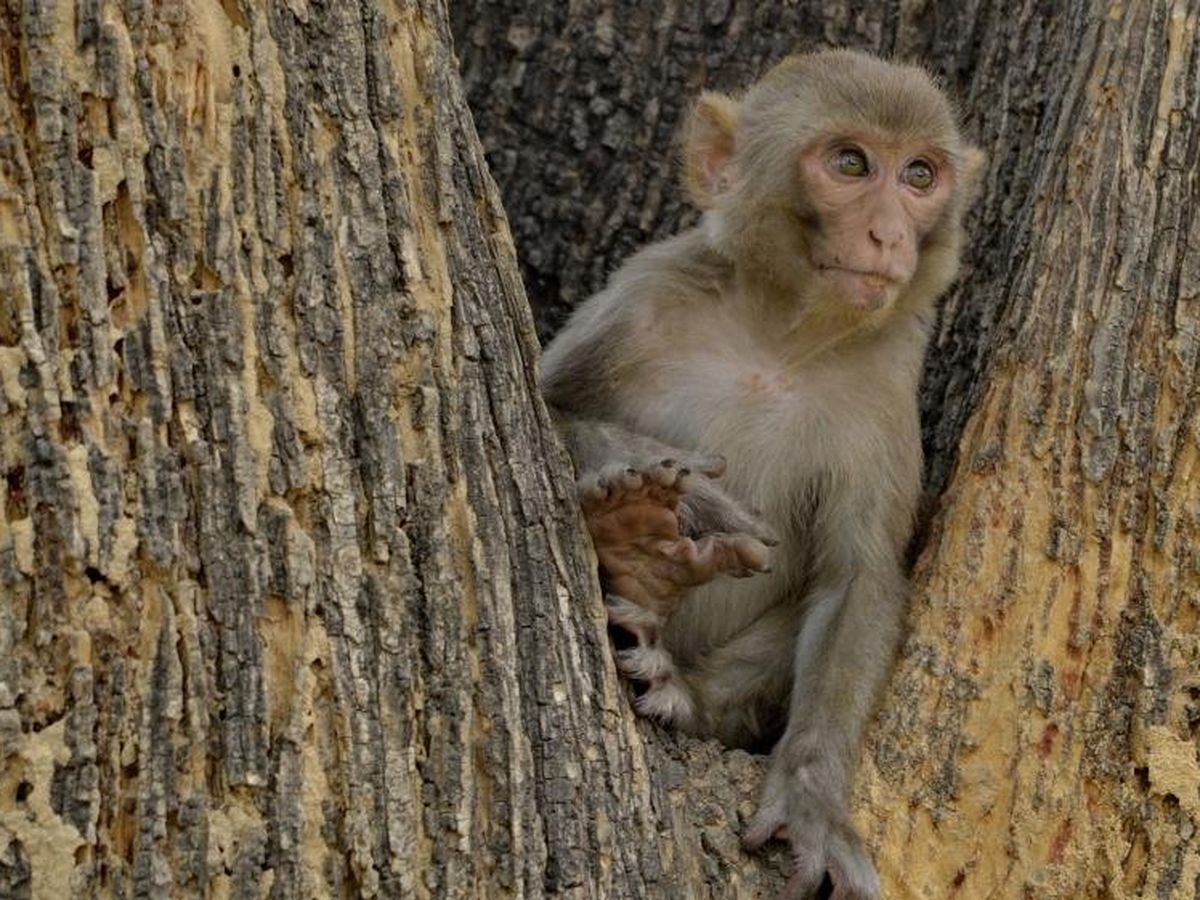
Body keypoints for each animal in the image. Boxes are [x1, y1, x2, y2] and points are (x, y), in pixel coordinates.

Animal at [540, 51, 979, 900]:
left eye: (919, 174)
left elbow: (856, 578)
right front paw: (670, 482)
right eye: (850, 163)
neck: (777, 339)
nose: (887, 235)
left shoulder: (887, 377)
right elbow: (539, 398)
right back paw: (636, 538)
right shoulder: (645, 292)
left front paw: (812, 793)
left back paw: (682, 680)